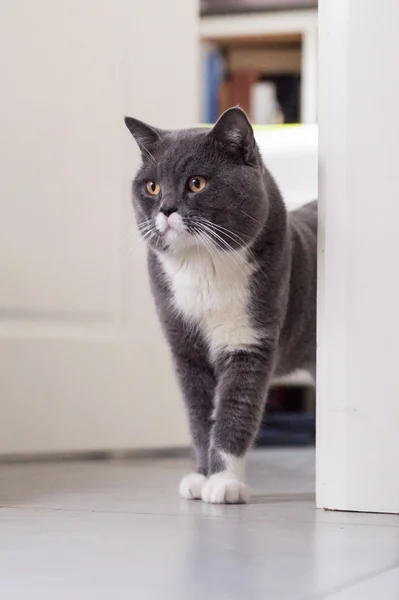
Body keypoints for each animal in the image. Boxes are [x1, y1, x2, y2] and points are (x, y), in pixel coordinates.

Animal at [125, 106, 318, 502]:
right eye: (152, 187)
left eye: (197, 183)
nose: (166, 208)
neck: (203, 266)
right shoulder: (185, 351)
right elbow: (199, 417)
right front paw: (201, 477)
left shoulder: (251, 343)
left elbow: (235, 411)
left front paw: (225, 483)